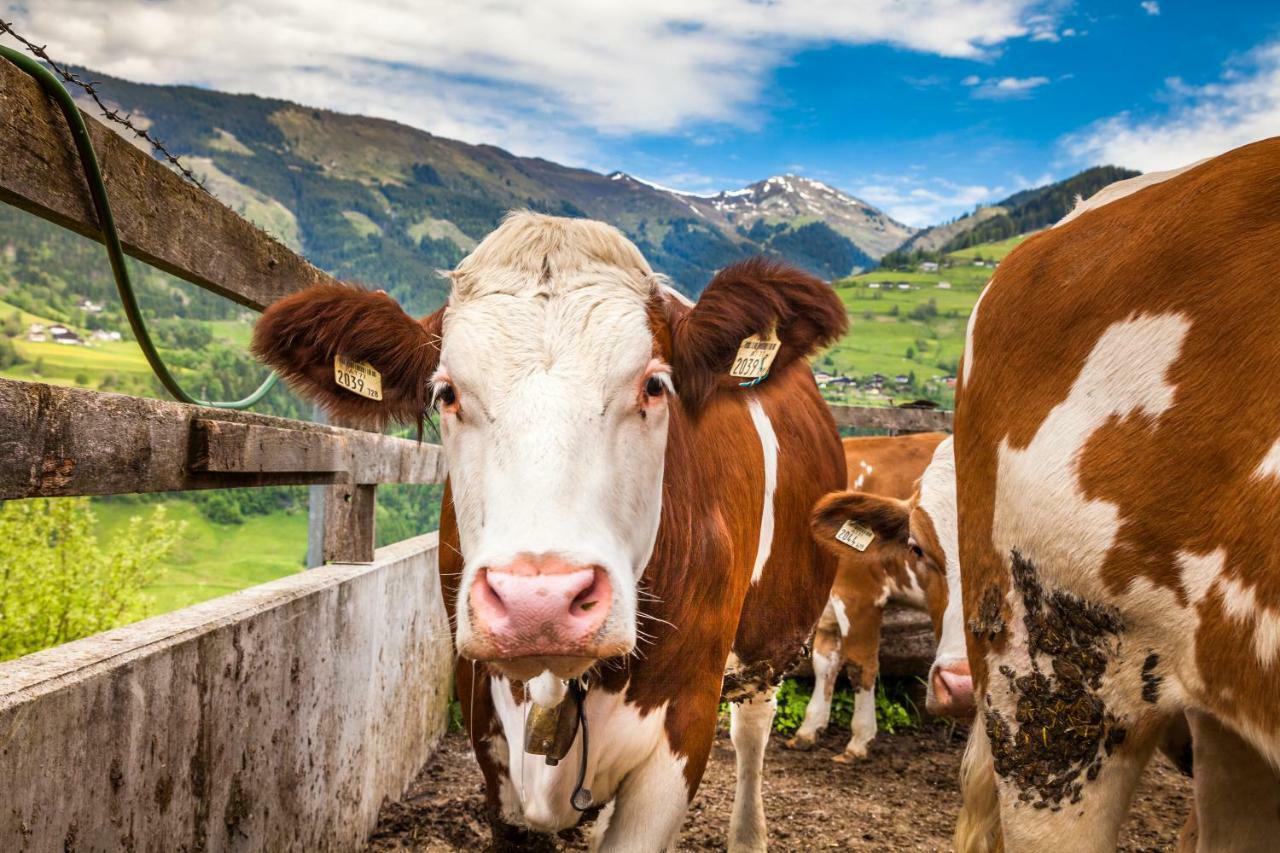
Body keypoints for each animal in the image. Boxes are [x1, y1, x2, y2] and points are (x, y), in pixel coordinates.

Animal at [252, 211, 849, 845]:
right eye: (446, 393)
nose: (537, 603)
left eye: (654, 385)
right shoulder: (485, 724)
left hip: (770, 638)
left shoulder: (681, 732)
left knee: (753, 725)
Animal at [783, 432, 972, 758]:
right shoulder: (830, 605)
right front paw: (809, 728)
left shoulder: (859, 594)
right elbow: (824, 663)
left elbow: (861, 664)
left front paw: (860, 738)